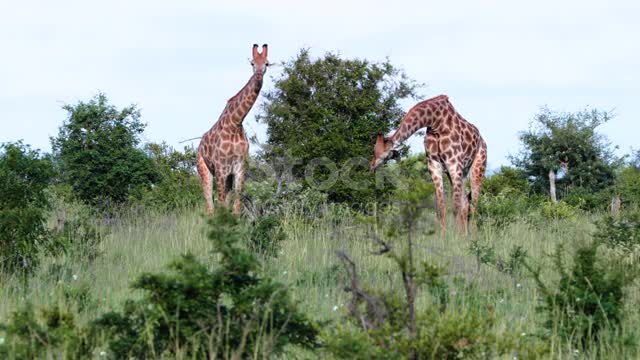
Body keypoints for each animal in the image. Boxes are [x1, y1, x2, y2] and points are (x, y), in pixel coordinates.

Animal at [196, 43, 268, 215]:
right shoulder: (220, 168)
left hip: (227, 177)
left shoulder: (240, 168)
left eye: (267, 64)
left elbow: (236, 207)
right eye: (252, 63)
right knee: (210, 206)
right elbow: (221, 205)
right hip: (204, 170)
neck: (235, 123)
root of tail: (199, 146)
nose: (258, 77)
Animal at [368, 94, 488, 233]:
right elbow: (441, 208)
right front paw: (444, 236)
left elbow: (455, 208)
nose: (371, 166)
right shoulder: (434, 165)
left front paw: (455, 237)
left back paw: (473, 235)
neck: (435, 122)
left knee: (474, 204)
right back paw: (465, 235)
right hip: (462, 172)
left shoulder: (454, 165)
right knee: (465, 203)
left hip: (478, 167)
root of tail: (482, 141)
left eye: (377, 152)